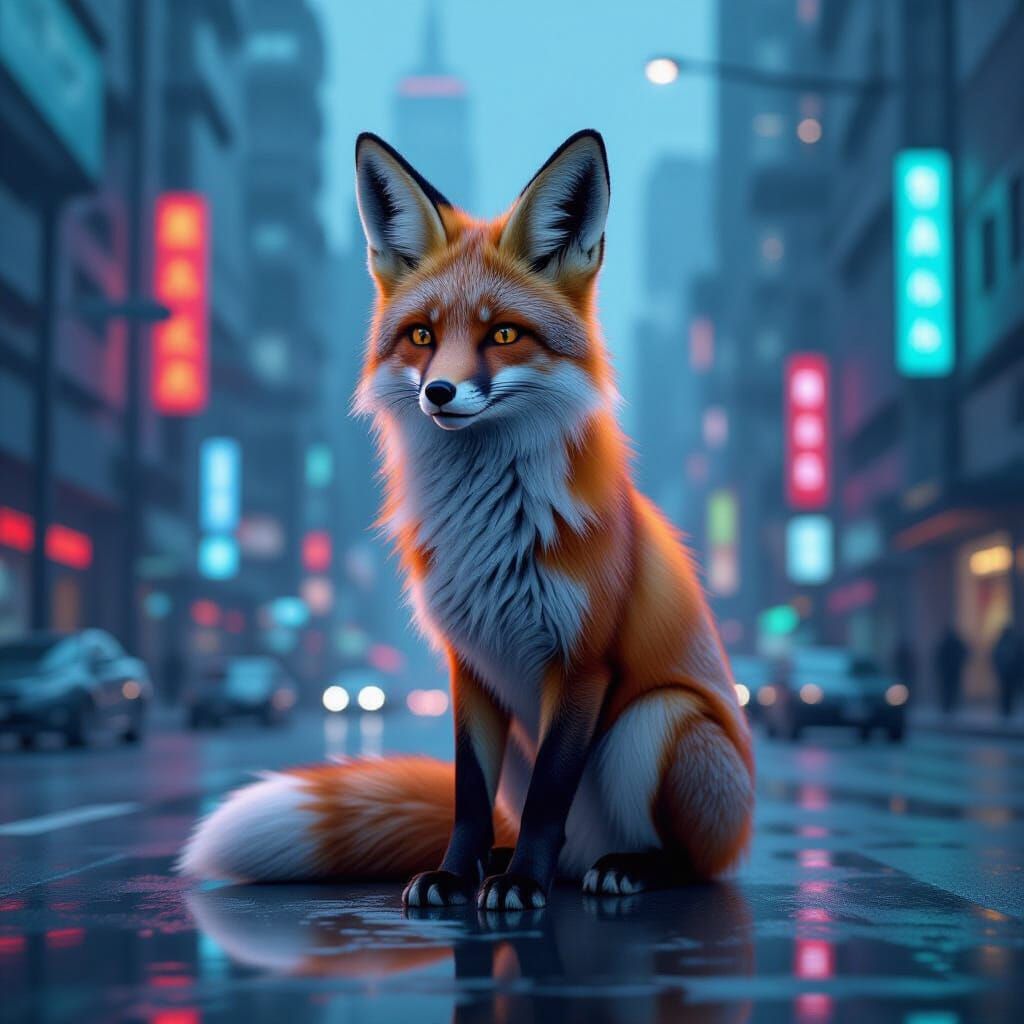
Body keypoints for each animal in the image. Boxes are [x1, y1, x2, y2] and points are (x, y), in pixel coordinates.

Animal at [179, 129, 754, 911]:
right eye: (422, 337)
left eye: (504, 334)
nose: (440, 393)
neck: (490, 528)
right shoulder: (471, 662)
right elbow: (468, 797)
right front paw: (456, 875)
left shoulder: (582, 662)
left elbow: (548, 796)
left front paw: (519, 888)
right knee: (542, 835)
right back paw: (512, 861)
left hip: (660, 719)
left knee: (686, 860)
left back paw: (624, 868)